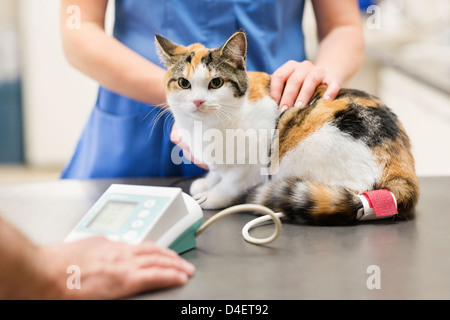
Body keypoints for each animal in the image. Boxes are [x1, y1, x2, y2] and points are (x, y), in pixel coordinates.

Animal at [155, 31, 418, 224]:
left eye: (216, 82)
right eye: (184, 83)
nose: (198, 101)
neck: (207, 126)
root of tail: (402, 169)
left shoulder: (254, 162)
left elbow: (231, 183)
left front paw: (211, 196)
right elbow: (218, 171)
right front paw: (207, 181)